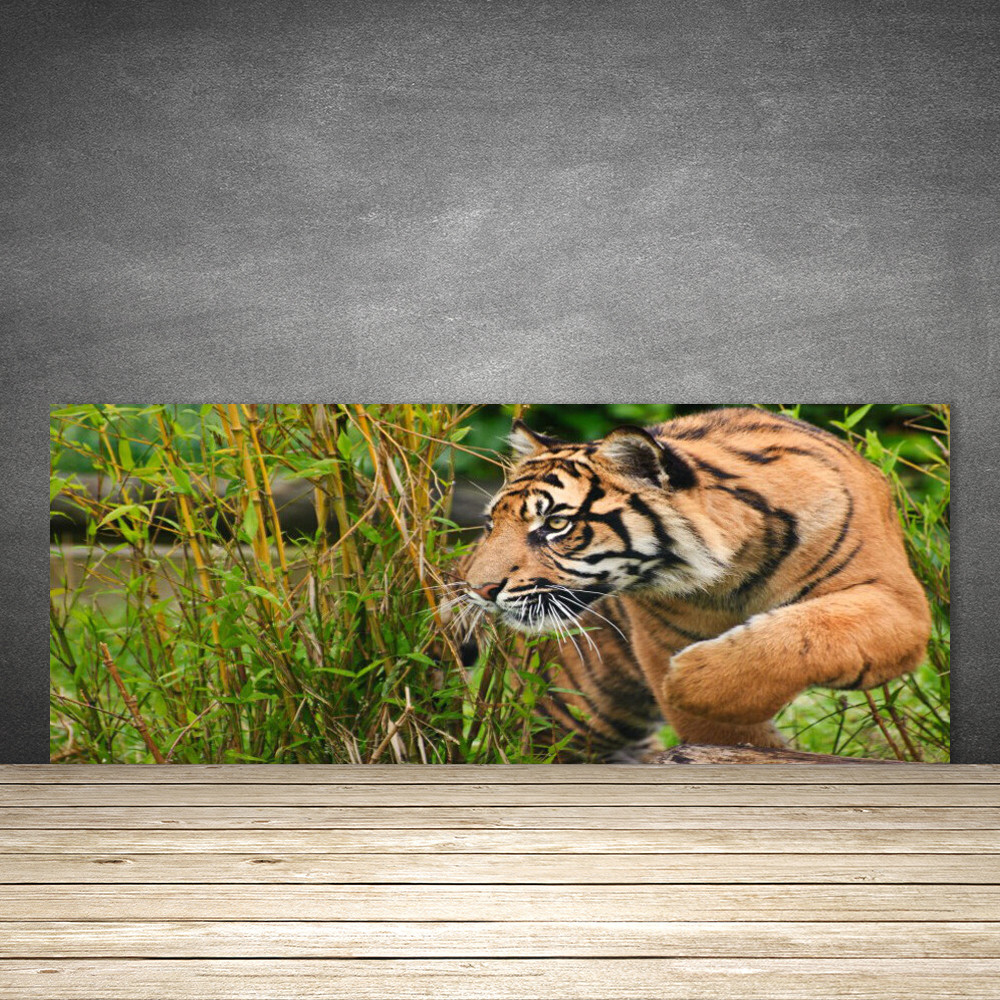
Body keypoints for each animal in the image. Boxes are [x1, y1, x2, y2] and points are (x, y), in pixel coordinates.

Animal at [455, 406, 932, 761]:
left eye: (556, 524)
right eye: (491, 524)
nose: (479, 590)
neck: (735, 568)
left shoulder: (896, 600)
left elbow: (809, 632)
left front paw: (688, 680)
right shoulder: (662, 639)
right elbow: (725, 735)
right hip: (573, 710)